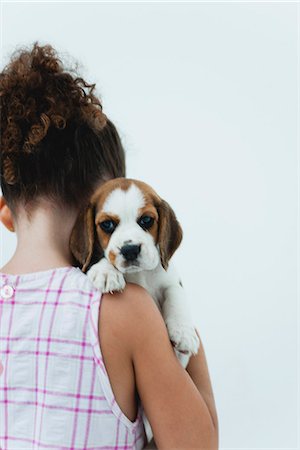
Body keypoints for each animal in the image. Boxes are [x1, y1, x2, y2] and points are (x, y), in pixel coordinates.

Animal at [71, 178, 199, 356]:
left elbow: (175, 294)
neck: (141, 273)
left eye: (146, 220)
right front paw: (106, 272)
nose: (130, 250)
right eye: (107, 224)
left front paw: (184, 332)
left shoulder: (172, 281)